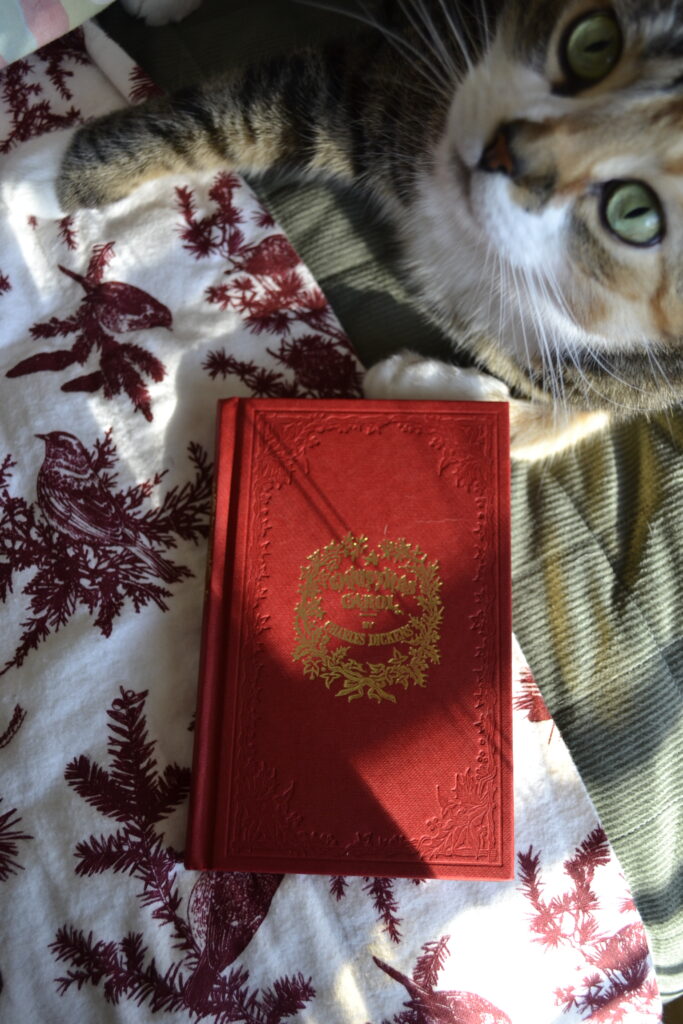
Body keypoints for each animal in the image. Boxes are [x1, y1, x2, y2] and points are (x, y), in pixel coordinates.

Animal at [5, 0, 683, 456]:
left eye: (637, 213)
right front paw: (40, 170)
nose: (502, 153)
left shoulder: (619, 371)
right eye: (593, 42)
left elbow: (571, 412)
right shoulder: (388, 83)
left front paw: (412, 386)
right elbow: (220, 119)